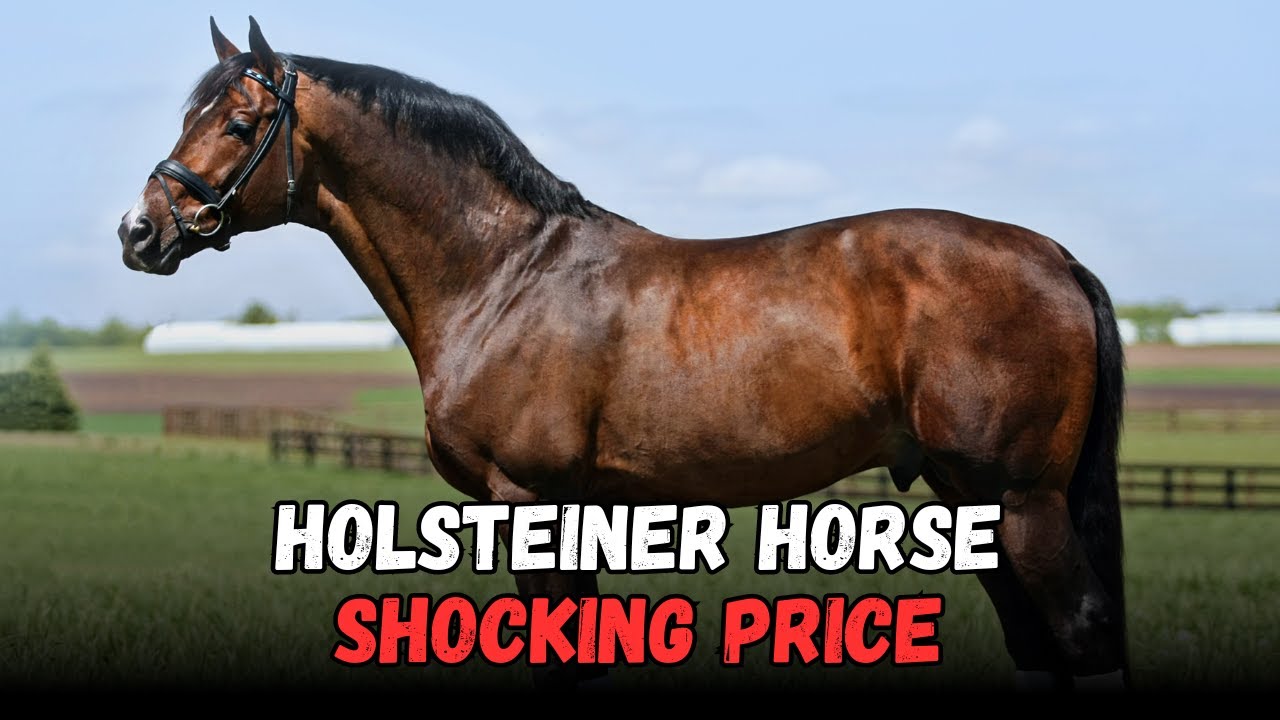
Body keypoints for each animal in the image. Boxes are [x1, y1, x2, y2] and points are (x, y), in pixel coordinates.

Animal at [118, 17, 1128, 690]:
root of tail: (1055, 257)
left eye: (239, 125)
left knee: (1080, 636)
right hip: (972, 502)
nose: (140, 231)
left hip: (1020, 500)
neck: (505, 274)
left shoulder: (531, 499)